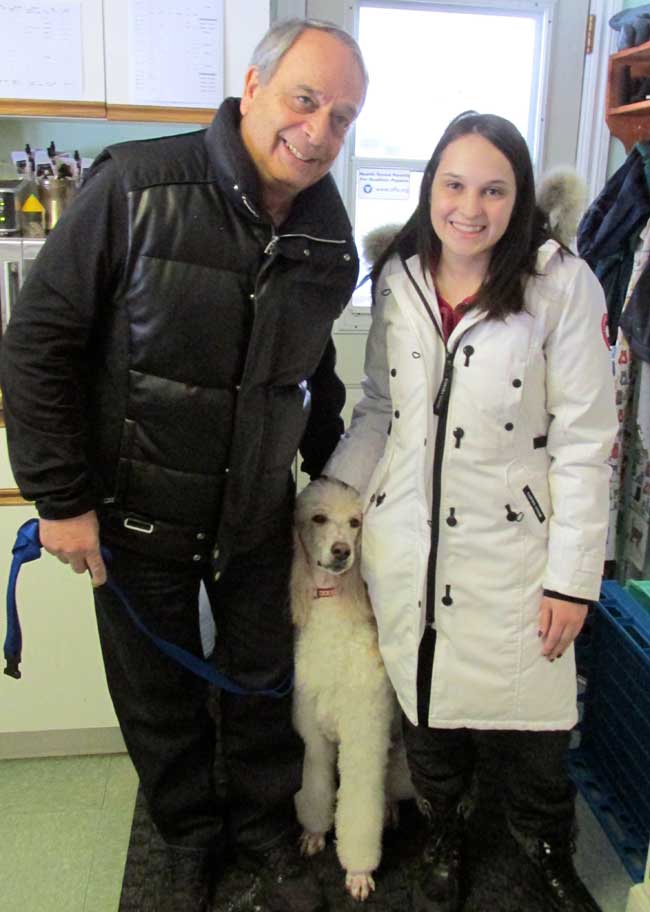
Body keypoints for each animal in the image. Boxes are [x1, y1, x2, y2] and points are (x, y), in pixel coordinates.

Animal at [290, 477, 412, 901]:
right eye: (319, 518)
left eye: (356, 523)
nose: (341, 551)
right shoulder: (314, 736)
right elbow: (316, 786)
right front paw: (313, 833)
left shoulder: (364, 737)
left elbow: (359, 807)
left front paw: (358, 872)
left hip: (400, 762)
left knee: (388, 792)